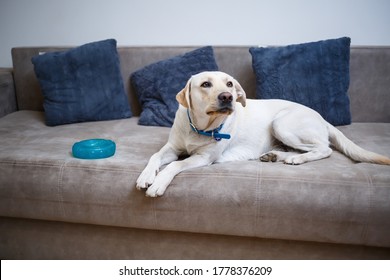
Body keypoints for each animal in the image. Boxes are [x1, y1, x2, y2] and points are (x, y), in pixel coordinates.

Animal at [136, 71, 390, 196]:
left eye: (229, 84)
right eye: (206, 84)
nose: (227, 96)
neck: (200, 127)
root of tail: (321, 117)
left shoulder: (203, 158)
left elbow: (175, 165)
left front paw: (159, 183)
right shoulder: (171, 147)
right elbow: (155, 157)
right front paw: (146, 176)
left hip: (282, 123)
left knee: (324, 149)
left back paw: (296, 159)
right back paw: (276, 156)